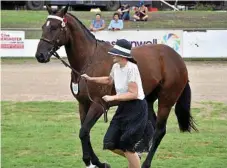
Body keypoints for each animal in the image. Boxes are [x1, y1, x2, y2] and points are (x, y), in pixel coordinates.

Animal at [35, 5, 197, 168]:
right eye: (43, 27)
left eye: (55, 27)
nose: (40, 55)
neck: (89, 60)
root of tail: (176, 58)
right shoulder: (83, 104)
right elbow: (85, 132)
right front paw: (93, 161)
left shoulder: (98, 105)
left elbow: (83, 131)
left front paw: (94, 161)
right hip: (149, 99)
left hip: (166, 100)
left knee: (159, 130)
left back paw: (145, 162)